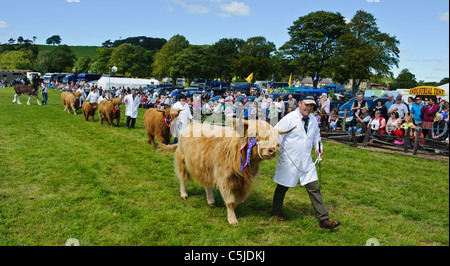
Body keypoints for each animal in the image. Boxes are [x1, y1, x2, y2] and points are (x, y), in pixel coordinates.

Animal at [161, 118, 296, 224]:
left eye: (275, 137)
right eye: (255, 134)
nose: (272, 150)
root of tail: (191, 124)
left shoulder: (244, 180)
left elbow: (242, 199)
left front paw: (228, 205)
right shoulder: (224, 179)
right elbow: (230, 201)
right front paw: (232, 219)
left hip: (206, 167)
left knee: (207, 184)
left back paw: (211, 200)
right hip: (182, 160)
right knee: (182, 179)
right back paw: (184, 194)